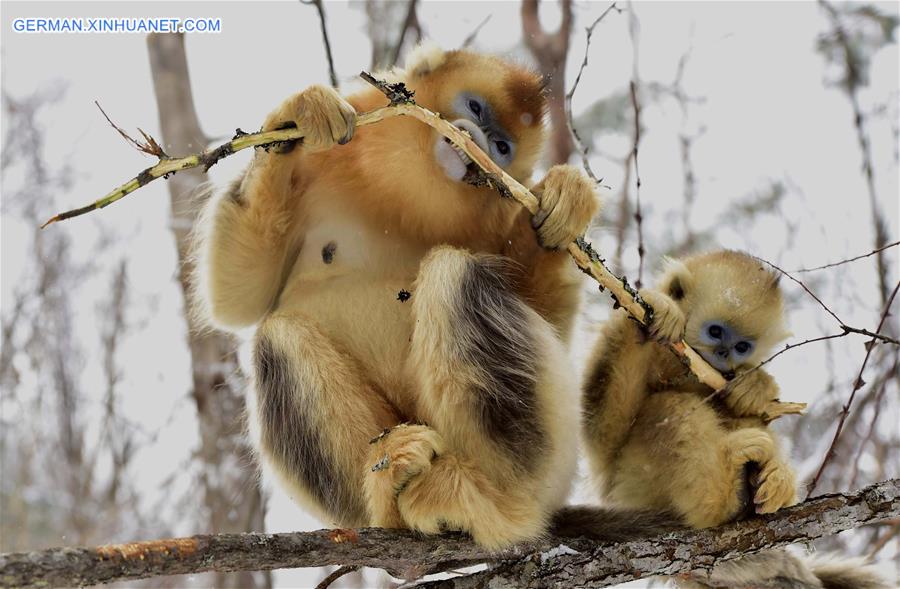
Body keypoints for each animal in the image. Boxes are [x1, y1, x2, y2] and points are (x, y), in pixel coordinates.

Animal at [195, 44, 676, 548]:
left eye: (502, 149)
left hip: (551, 457)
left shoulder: (505, 204)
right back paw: (389, 484)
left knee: (454, 275)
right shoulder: (317, 166)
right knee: (279, 336)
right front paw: (301, 115)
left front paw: (567, 198)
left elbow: (549, 318)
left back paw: (488, 502)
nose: (480, 140)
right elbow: (237, 296)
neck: (407, 196)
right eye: (476, 108)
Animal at [580, 249, 884, 588]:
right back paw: (722, 497)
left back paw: (769, 483)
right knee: (667, 406)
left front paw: (756, 384)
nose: (724, 354)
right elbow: (603, 428)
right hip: (634, 485)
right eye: (715, 331)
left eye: (741, 346)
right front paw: (657, 308)